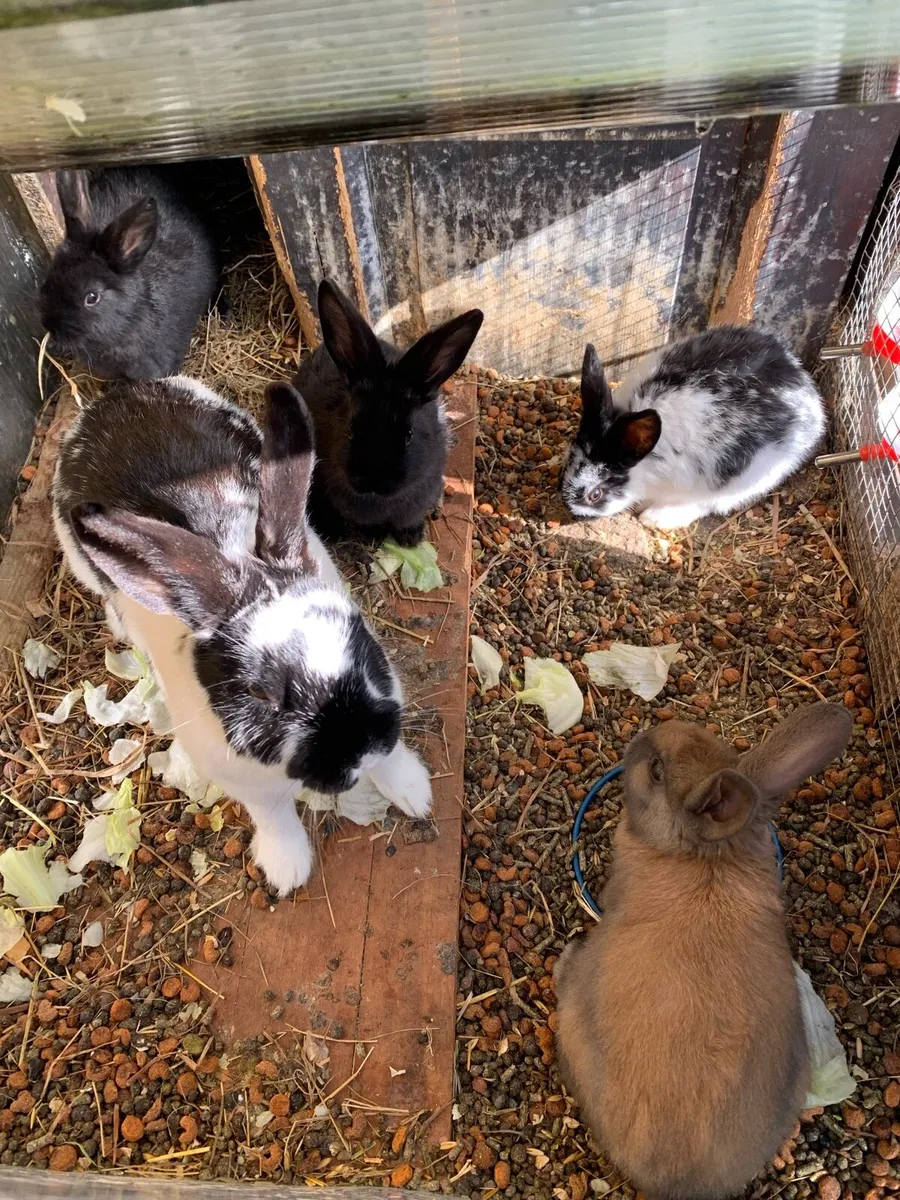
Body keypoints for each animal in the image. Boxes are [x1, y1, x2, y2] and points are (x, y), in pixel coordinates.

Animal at [52, 374, 432, 897]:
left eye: (356, 634)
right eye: (260, 693)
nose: (359, 746)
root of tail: (114, 399)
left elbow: (392, 761)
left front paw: (417, 793)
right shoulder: (248, 785)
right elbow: (274, 818)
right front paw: (286, 869)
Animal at [561, 326, 826, 529]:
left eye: (595, 495)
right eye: (565, 465)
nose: (570, 509)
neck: (646, 464)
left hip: (749, 478)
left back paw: (656, 517)